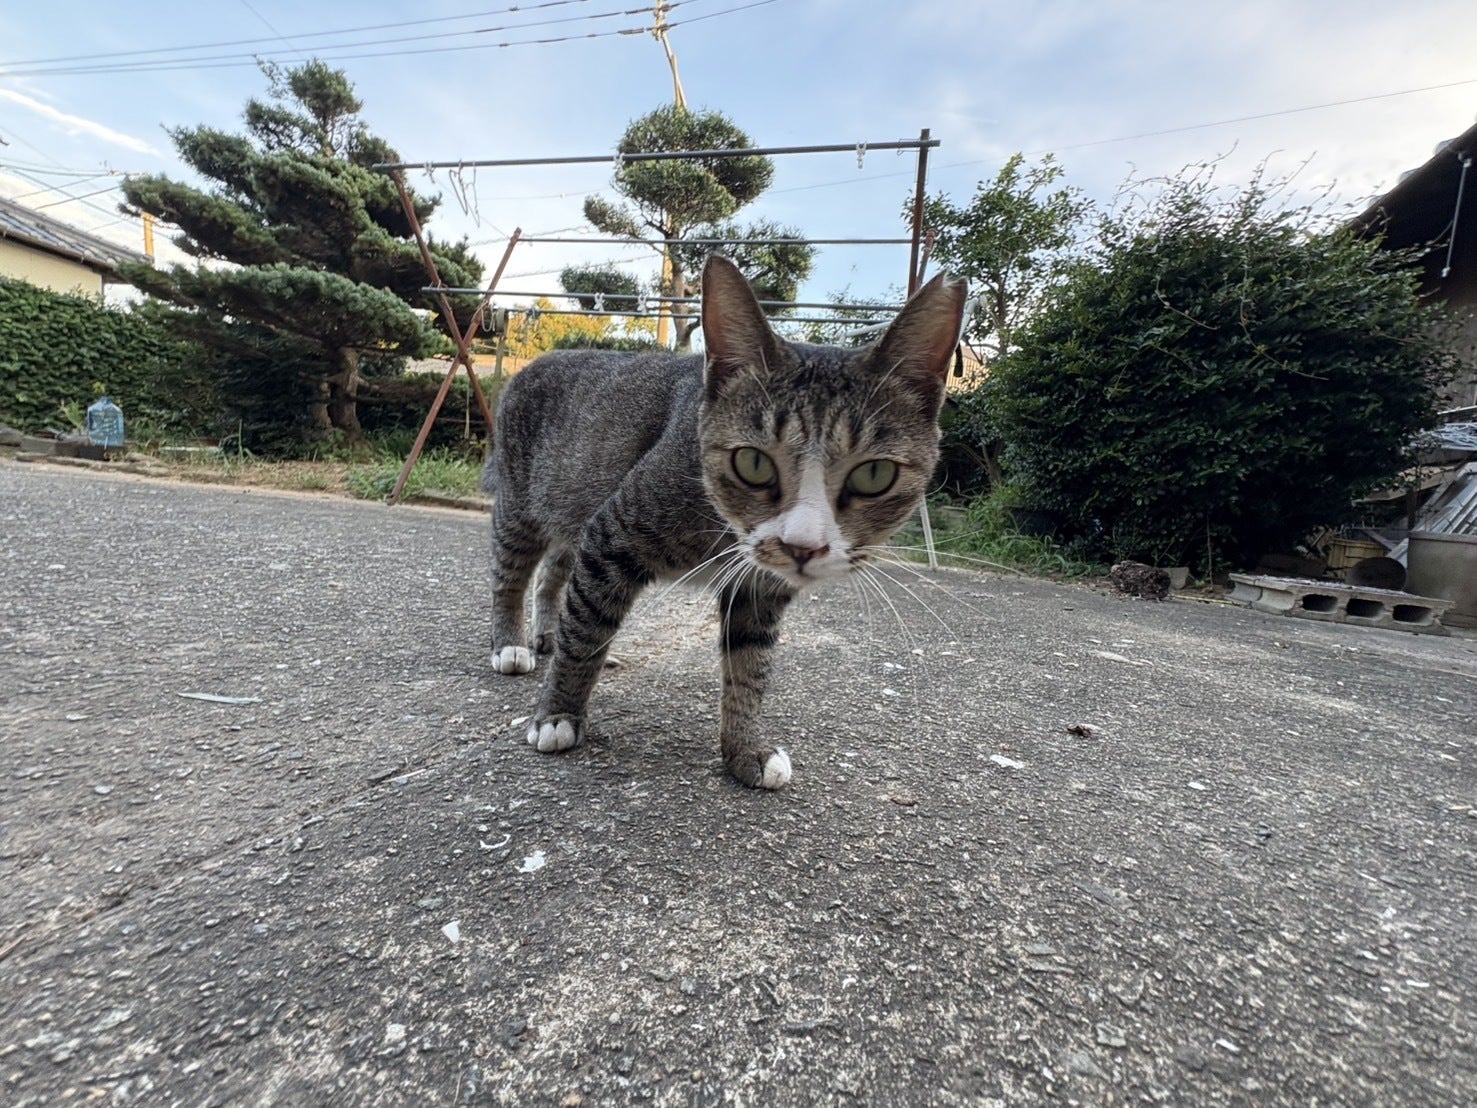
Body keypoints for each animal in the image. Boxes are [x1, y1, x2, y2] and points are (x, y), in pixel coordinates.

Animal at [483, 254, 966, 789]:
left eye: (875, 474)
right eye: (752, 463)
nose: (803, 547)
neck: (723, 527)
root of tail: (538, 361)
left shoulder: (761, 586)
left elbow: (750, 665)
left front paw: (744, 748)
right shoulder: (611, 535)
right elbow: (586, 630)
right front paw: (558, 714)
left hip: (571, 505)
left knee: (554, 572)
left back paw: (546, 631)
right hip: (522, 505)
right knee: (512, 573)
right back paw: (511, 645)